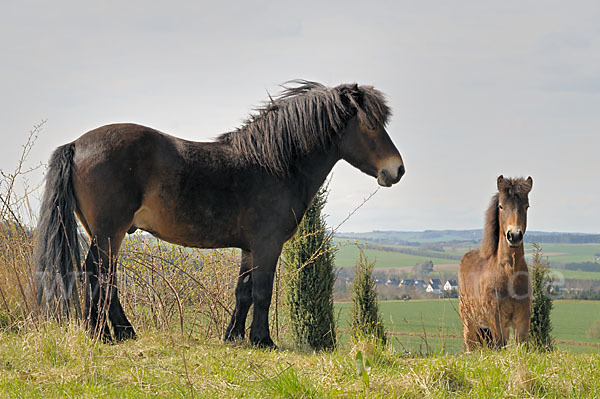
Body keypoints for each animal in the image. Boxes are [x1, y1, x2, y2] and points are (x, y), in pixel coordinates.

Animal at [35, 81, 406, 346]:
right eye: (370, 126)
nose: (397, 170)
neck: (275, 164)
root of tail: (76, 144)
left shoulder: (250, 247)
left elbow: (243, 292)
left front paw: (234, 337)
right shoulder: (268, 244)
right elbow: (262, 291)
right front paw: (263, 340)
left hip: (105, 232)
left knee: (105, 275)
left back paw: (122, 333)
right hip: (108, 230)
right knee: (96, 273)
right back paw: (100, 335)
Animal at [460, 177, 536, 352]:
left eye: (526, 206)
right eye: (501, 206)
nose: (514, 235)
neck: (509, 274)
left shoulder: (522, 320)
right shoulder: (495, 319)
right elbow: (499, 346)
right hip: (469, 322)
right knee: (470, 346)